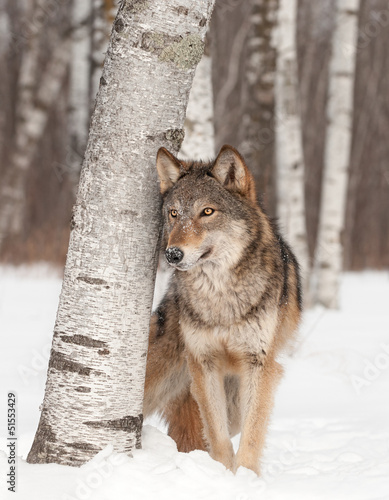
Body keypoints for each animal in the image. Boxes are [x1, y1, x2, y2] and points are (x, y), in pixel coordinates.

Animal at [144, 144, 302, 472]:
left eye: (207, 211)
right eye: (173, 213)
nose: (173, 254)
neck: (220, 296)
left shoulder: (259, 365)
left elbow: (252, 436)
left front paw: (245, 476)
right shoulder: (204, 363)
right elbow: (216, 436)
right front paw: (222, 472)